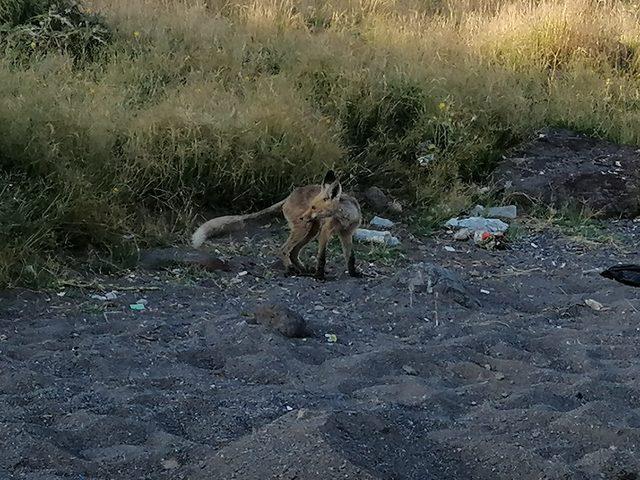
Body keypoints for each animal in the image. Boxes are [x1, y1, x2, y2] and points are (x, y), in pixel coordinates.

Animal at [190, 170, 362, 280]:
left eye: (314, 207)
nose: (303, 216)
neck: (345, 217)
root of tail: (290, 195)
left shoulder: (347, 233)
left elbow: (351, 257)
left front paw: (354, 274)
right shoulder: (326, 232)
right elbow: (322, 257)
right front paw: (319, 276)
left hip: (310, 231)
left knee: (293, 252)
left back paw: (302, 270)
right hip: (305, 230)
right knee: (284, 249)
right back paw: (291, 270)